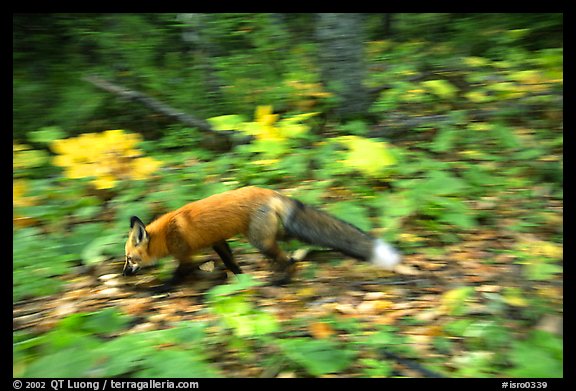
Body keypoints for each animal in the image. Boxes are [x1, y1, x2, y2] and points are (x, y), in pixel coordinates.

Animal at [122, 187, 400, 288]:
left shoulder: (186, 254)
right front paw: (241, 279)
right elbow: (231, 262)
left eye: (130, 259)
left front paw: (160, 289)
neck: (167, 234)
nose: (123, 274)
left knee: (287, 259)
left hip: (259, 241)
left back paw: (283, 280)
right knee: (294, 246)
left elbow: (179, 274)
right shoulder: (217, 241)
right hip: (275, 234)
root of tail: (271, 192)